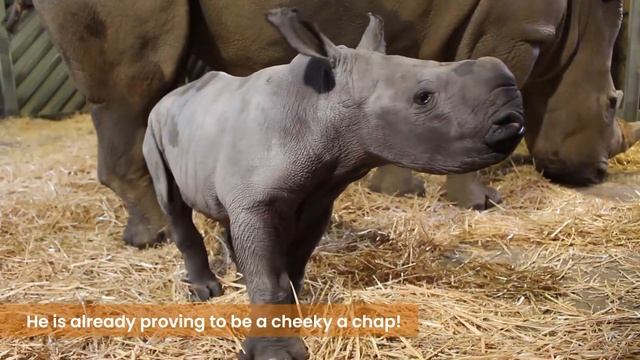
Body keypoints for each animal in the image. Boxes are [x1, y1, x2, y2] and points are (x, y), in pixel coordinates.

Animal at [32, 0, 632, 248]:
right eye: (612, 104)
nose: (600, 172)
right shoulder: (517, 28)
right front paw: (480, 204)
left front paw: (398, 190)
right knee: (134, 86)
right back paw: (156, 238)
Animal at [144, 8, 524, 360]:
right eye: (424, 97)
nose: (512, 119)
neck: (319, 109)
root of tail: (173, 95)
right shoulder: (257, 202)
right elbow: (269, 279)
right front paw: (276, 351)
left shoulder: (315, 199)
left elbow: (293, 267)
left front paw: (297, 311)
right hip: (155, 126)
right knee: (172, 201)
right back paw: (205, 292)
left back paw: (237, 276)